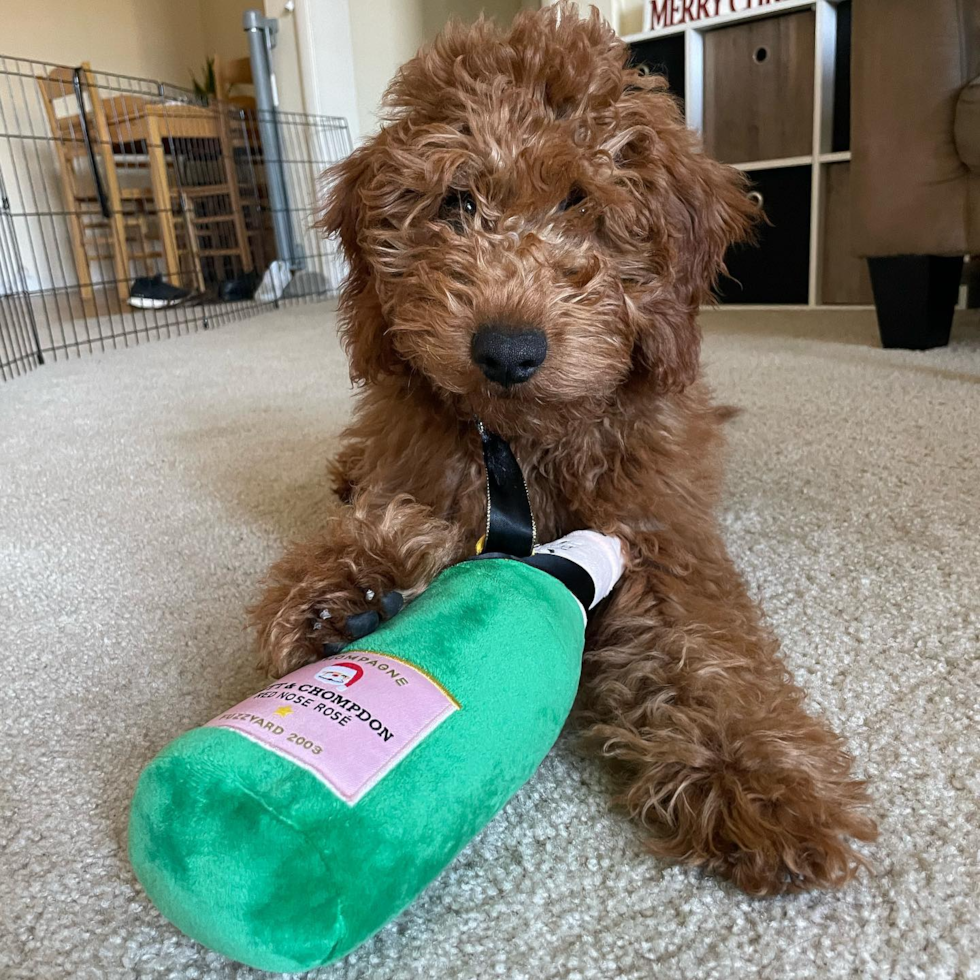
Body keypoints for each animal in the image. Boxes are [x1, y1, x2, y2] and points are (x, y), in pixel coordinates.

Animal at [249, 1, 876, 896]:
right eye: (457, 201)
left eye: (582, 200)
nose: (507, 350)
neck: (535, 440)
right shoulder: (431, 466)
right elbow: (396, 523)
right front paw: (352, 590)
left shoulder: (656, 529)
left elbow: (705, 645)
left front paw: (757, 774)